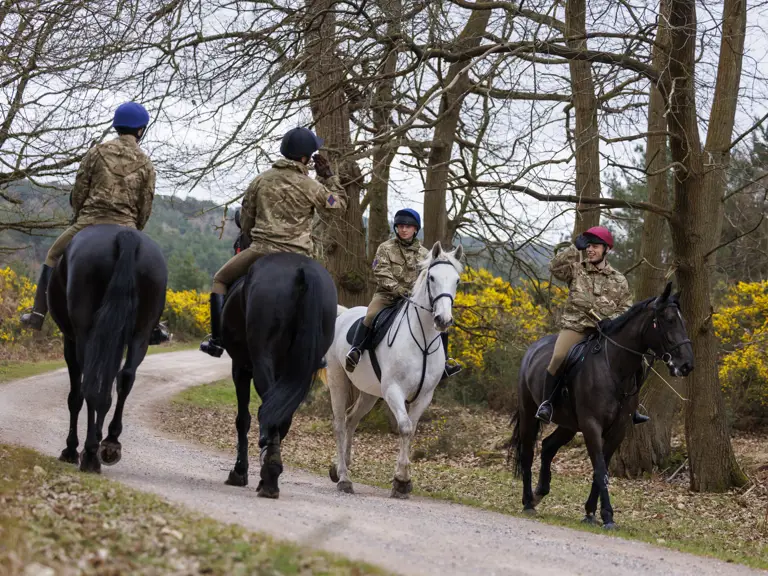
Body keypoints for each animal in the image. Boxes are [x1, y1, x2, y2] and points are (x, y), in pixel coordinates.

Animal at [48, 225, 168, 473]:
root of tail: (125, 236)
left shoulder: (70, 342)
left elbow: (75, 396)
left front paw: (71, 450)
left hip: (85, 334)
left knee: (89, 385)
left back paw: (90, 454)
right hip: (140, 334)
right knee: (125, 377)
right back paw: (110, 444)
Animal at [219, 248, 337, 499]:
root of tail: (303, 271)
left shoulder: (240, 368)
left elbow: (243, 419)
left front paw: (239, 472)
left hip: (262, 361)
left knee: (268, 411)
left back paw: (269, 477)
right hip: (300, 369)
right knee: (282, 414)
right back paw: (271, 473)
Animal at [326, 241, 463, 498]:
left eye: (457, 280)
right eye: (431, 278)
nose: (443, 320)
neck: (422, 340)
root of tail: (345, 313)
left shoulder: (424, 396)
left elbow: (412, 429)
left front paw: (403, 481)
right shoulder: (393, 391)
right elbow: (405, 428)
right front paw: (401, 480)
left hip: (368, 393)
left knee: (351, 420)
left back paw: (339, 467)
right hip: (338, 380)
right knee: (340, 424)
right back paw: (344, 479)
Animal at [509, 281, 694, 528]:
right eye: (669, 320)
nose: (686, 365)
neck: (614, 367)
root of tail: (533, 349)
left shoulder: (618, 430)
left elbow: (602, 469)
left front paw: (591, 512)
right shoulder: (591, 425)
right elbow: (599, 469)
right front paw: (607, 515)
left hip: (569, 425)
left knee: (548, 447)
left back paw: (540, 492)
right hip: (530, 413)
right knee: (528, 452)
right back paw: (528, 502)